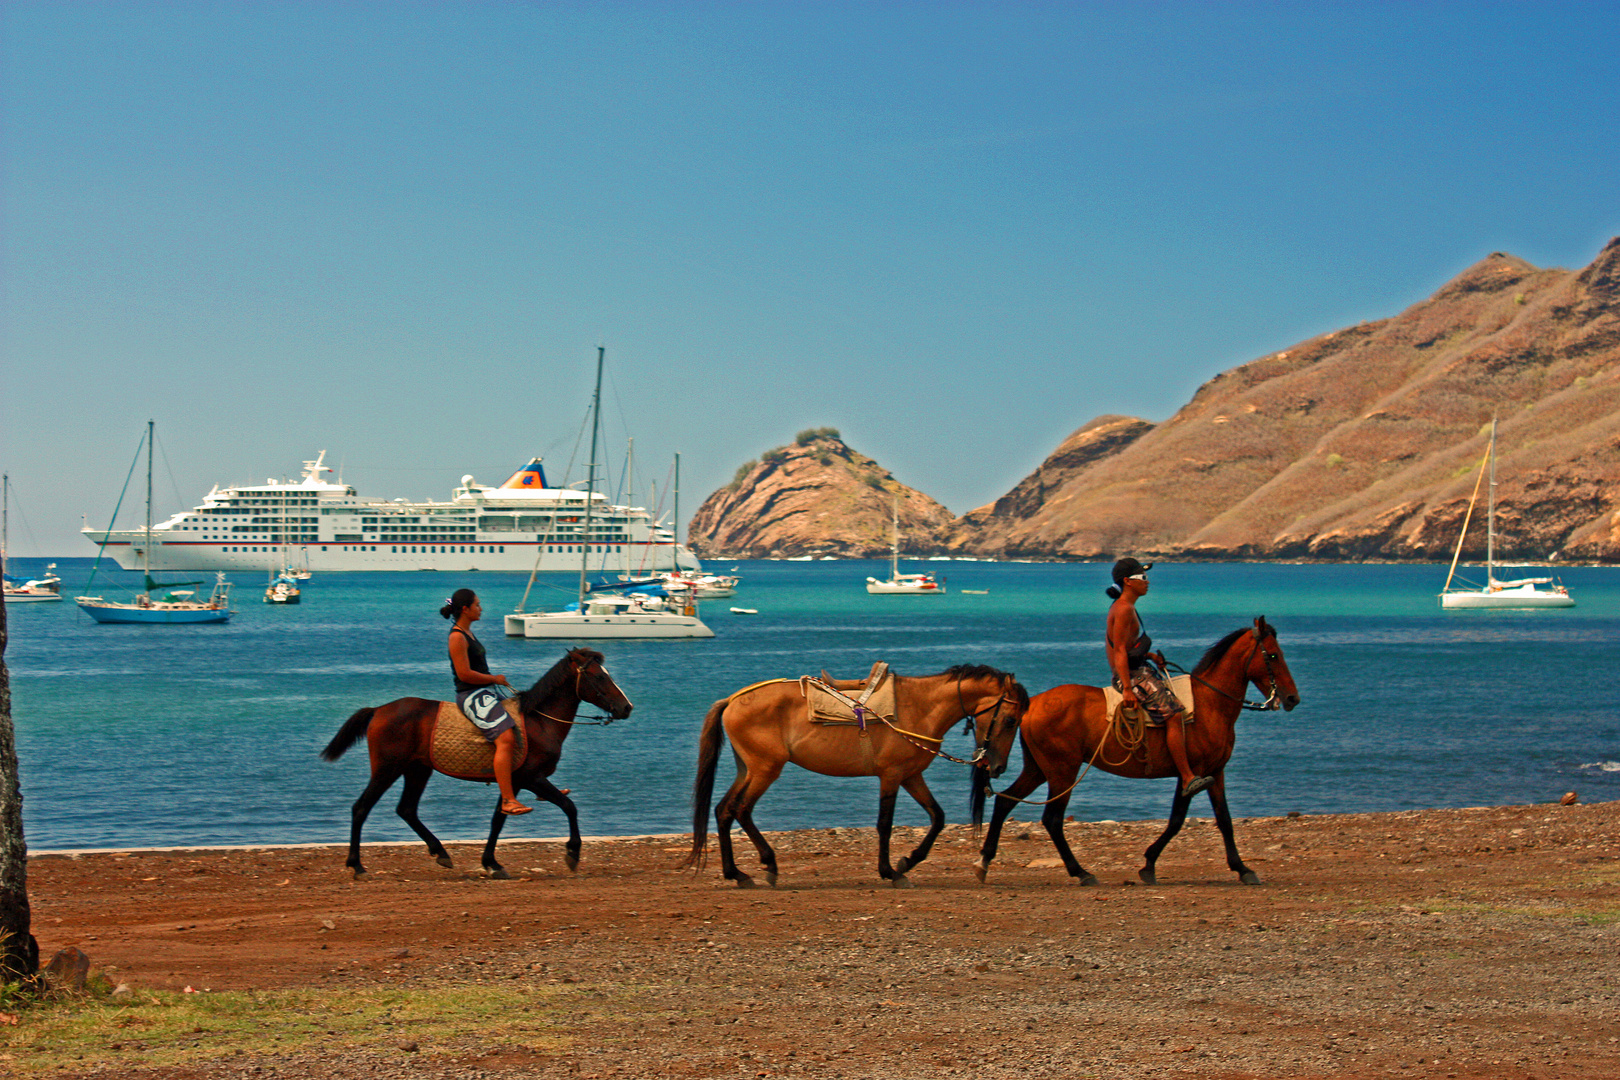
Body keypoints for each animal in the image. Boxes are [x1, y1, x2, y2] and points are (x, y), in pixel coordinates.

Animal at [320, 647, 631, 880]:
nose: (626, 707)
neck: (538, 721)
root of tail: (379, 710)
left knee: (406, 809)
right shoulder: (532, 778)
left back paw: (441, 852)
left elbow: (498, 820)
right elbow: (569, 806)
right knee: (361, 808)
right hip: (387, 769)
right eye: (598, 676)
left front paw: (492, 863)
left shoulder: (514, 782)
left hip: (417, 769)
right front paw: (572, 853)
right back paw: (357, 865)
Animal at [690, 667, 1030, 887]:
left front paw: (908, 861)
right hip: (765, 769)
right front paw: (890, 871)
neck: (920, 706)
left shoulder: (911, 775)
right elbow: (884, 824)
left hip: (748, 768)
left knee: (724, 810)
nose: (997, 767)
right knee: (741, 809)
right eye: (1010, 719)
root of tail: (732, 701)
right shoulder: (891, 775)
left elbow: (938, 817)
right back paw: (765, 865)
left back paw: (737, 873)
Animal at [965, 621, 1296, 893]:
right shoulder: (1192, 773)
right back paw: (1081, 872)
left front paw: (1242, 868)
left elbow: (1224, 820)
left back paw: (983, 863)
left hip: (1039, 769)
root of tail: (1031, 705)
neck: (1209, 704)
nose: (1292, 698)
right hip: (1062, 771)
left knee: (1005, 803)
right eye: (1273, 656)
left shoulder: (1216, 772)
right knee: (1052, 819)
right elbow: (1177, 820)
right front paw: (1148, 864)